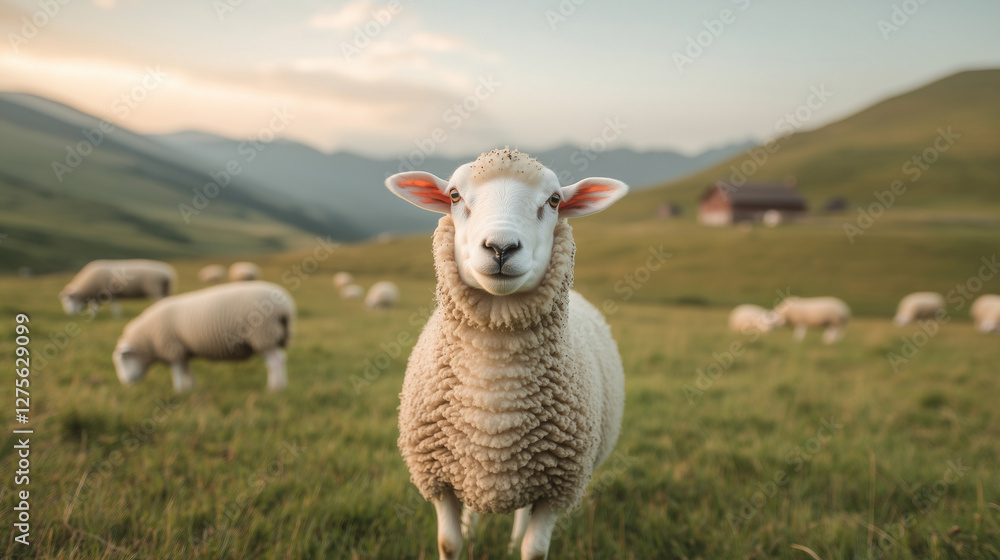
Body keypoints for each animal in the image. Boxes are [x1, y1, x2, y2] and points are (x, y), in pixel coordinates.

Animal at [112, 281, 295, 392]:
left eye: (123, 359)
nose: (125, 383)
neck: (147, 340)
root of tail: (285, 307)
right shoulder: (182, 349)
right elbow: (187, 370)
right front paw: (190, 389)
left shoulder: (171, 347)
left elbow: (177, 372)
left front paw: (178, 391)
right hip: (273, 337)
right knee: (281, 358)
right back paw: (282, 387)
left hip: (263, 335)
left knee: (275, 362)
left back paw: (273, 389)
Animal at [386, 147, 628, 560]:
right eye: (453, 196)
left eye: (554, 200)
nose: (501, 247)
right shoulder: (439, 477)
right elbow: (449, 543)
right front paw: (462, 539)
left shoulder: (558, 489)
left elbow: (534, 550)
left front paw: (521, 544)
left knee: (520, 515)